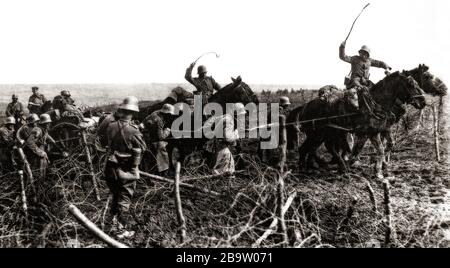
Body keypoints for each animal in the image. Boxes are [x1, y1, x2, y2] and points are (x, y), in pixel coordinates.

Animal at [298, 72, 426, 179]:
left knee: (315, 148)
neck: (376, 104)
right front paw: (372, 168)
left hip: (324, 134)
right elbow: (358, 151)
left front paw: (380, 169)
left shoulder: (377, 132)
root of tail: (305, 106)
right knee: (311, 148)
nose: (423, 102)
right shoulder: (366, 133)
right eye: (411, 85)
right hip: (318, 134)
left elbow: (383, 148)